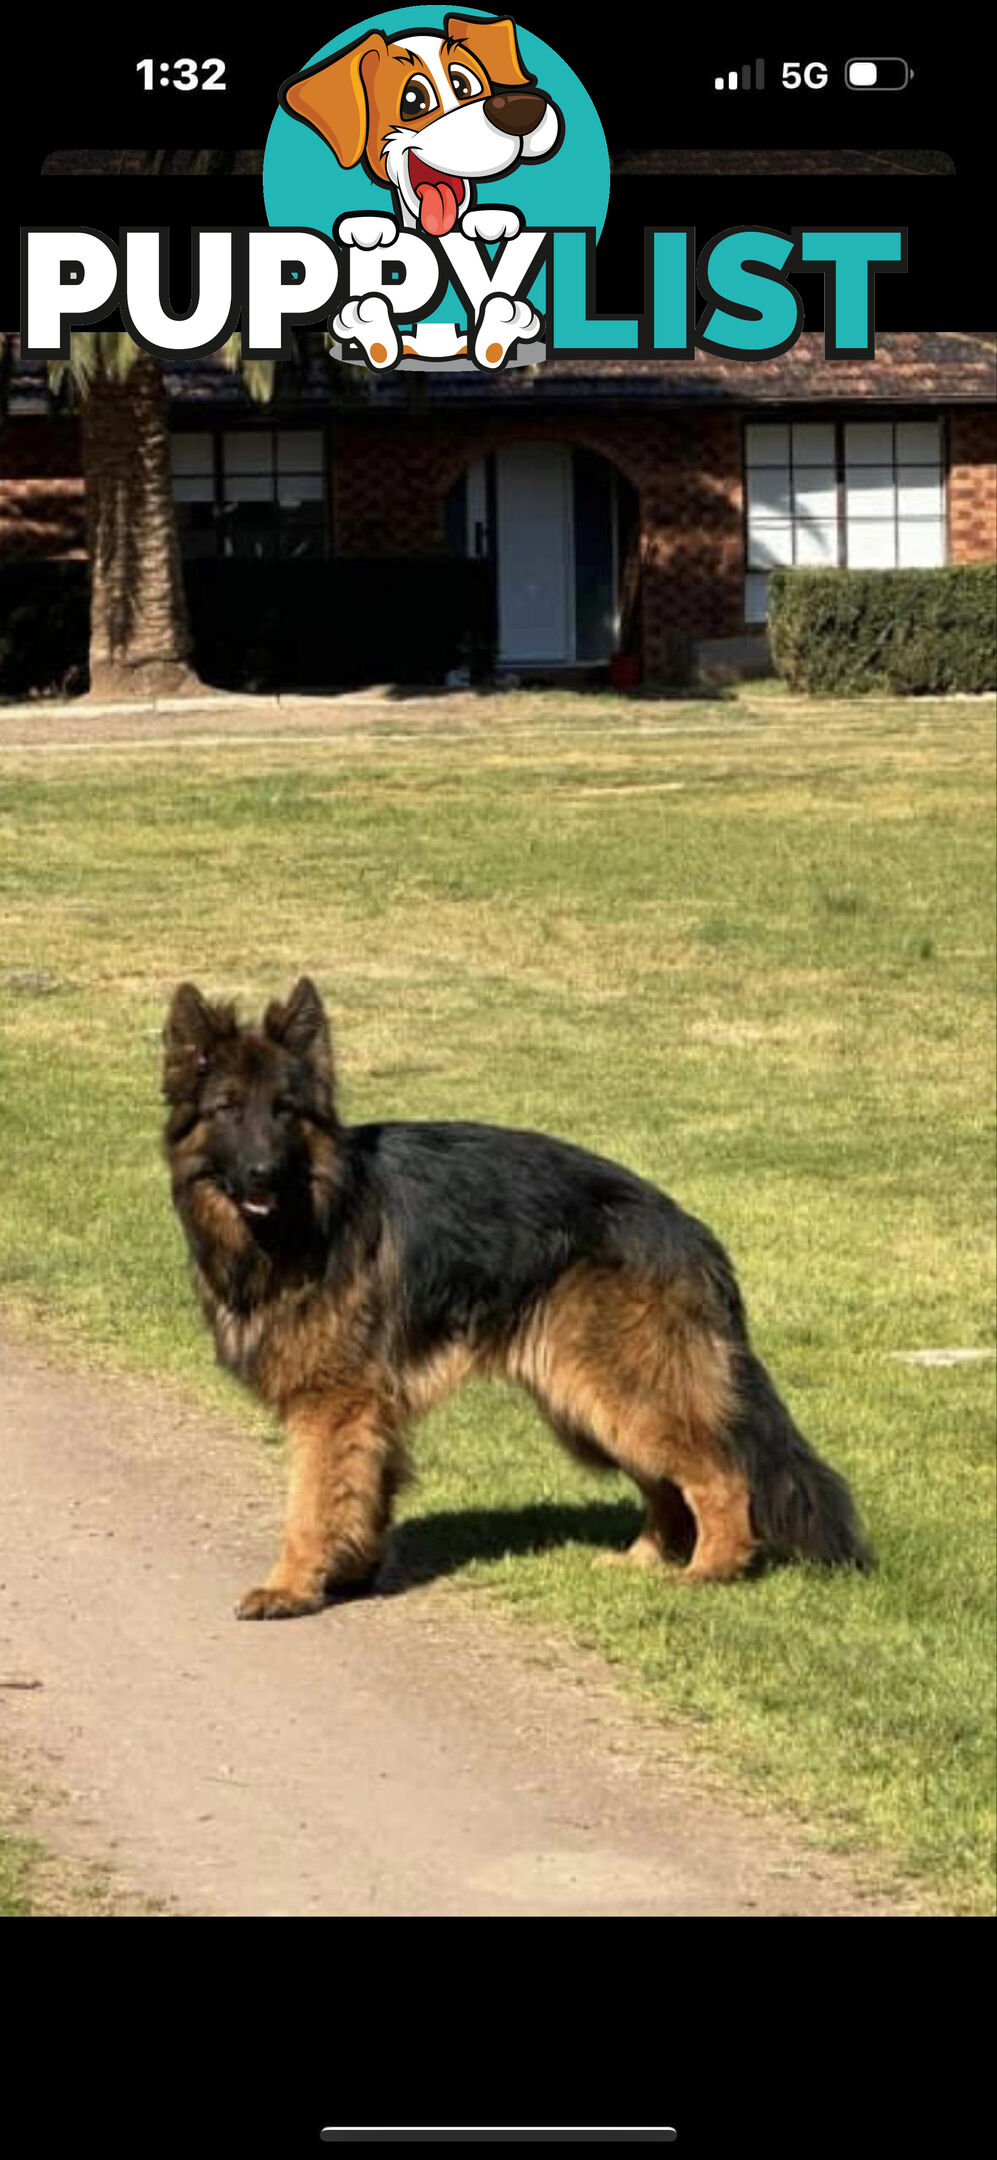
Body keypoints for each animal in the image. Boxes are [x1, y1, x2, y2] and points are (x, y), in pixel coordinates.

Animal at [164, 980, 871, 1624]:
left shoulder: (333, 1403)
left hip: (614, 1389)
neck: (314, 1214)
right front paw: (353, 1573)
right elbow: (364, 1493)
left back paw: (707, 1574)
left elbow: (311, 1505)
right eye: (227, 1108)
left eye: (284, 1110)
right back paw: (643, 1561)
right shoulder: (369, 1408)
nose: (261, 1173)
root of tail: (688, 1230)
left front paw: (290, 1587)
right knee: (666, 1487)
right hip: (583, 1399)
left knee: (722, 1478)